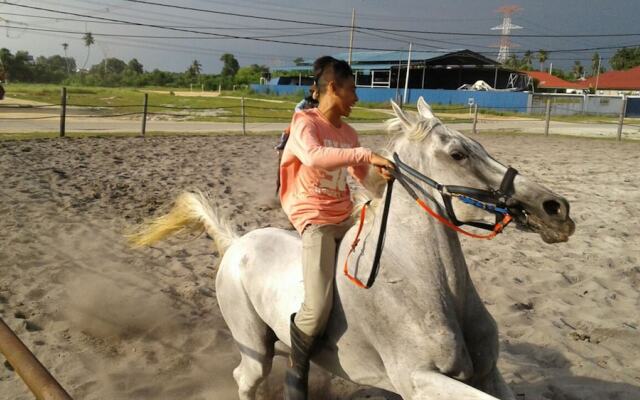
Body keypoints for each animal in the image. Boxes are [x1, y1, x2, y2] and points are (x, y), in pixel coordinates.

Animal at [132, 97, 576, 400]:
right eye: (458, 154)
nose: (556, 208)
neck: (429, 284)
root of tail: (238, 242)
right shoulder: (419, 379)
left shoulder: (488, 373)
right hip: (254, 346)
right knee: (246, 379)